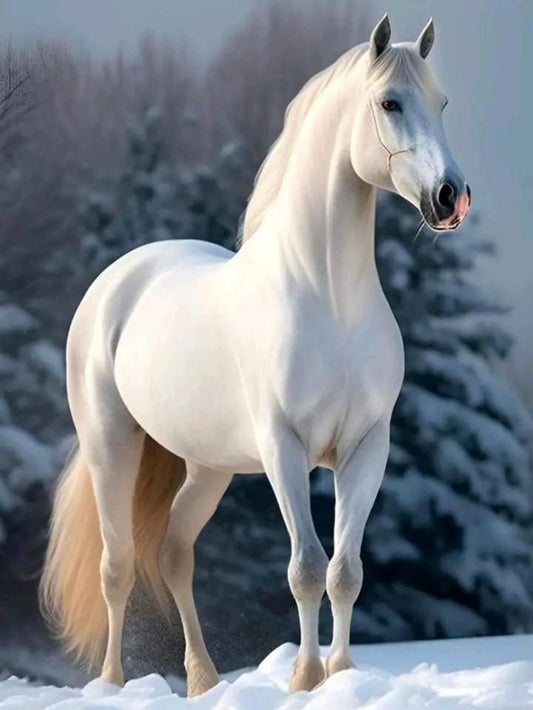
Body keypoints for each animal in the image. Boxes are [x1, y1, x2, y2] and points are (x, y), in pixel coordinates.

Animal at [40, 15, 471, 698]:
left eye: (443, 103)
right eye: (389, 103)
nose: (451, 197)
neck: (329, 297)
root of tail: (118, 280)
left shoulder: (366, 447)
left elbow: (346, 570)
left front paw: (341, 676)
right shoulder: (282, 448)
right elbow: (306, 568)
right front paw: (304, 678)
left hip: (206, 468)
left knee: (174, 553)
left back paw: (203, 679)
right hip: (112, 445)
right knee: (118, 566)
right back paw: (111, 684)